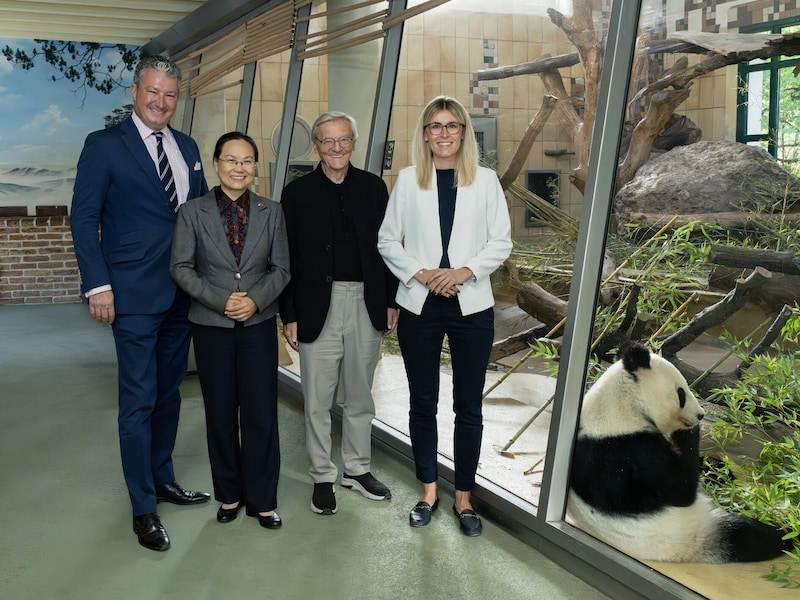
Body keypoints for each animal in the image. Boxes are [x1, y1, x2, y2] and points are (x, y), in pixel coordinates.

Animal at [564, 342, 792, 564]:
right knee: (746, 536)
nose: (700, 415)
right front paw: (689, 431)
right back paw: (785, 534)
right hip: (692, 533)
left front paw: (714, 464)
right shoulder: (627, 450)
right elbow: (681, 489)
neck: (620, 407)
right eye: (681, 394)